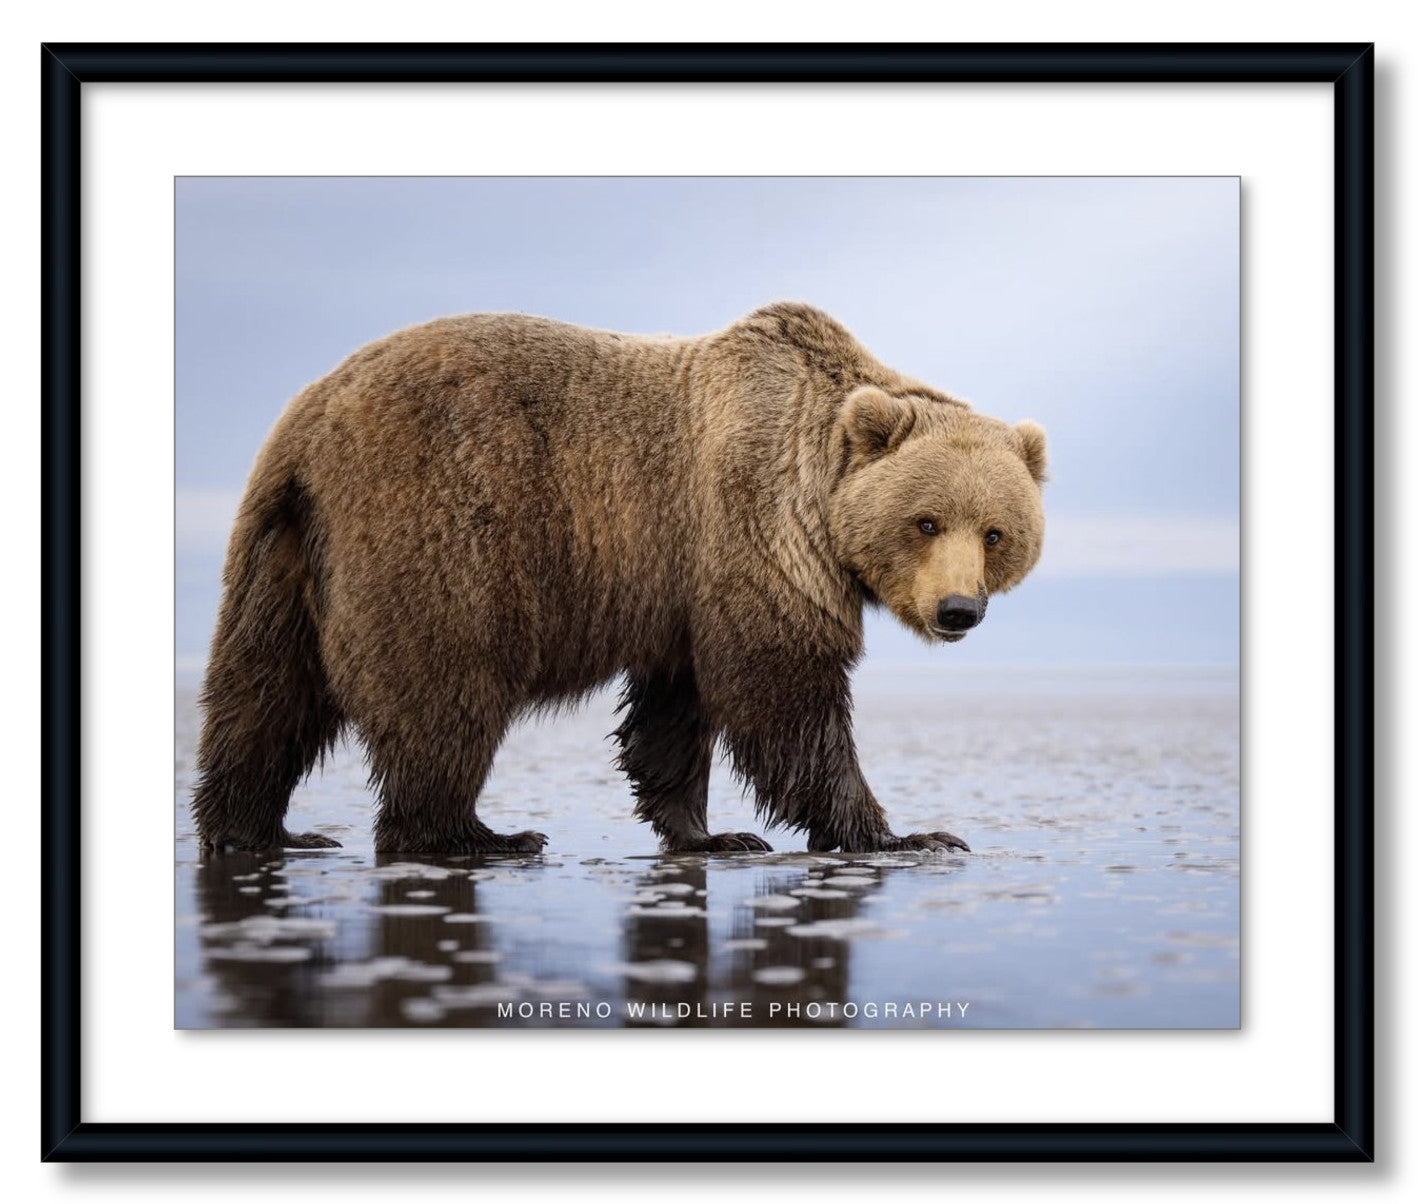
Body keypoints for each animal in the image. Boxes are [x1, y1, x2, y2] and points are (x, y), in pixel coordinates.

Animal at [191, 302, 1047, 857]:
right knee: (445, 686)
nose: (958, 609)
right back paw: (476, 834)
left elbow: (676, 708)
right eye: (926, 521)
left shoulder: (680, 584)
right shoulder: (753, 528)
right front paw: (908, 834)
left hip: (282, 552)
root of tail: (311, 421)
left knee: (265, 693)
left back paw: (260, 829)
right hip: (437, 522)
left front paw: (710, 833)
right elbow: (783, 690)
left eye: (996, 532)